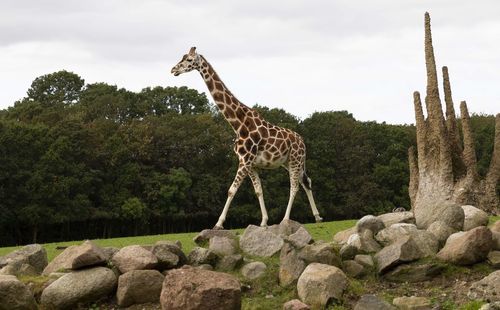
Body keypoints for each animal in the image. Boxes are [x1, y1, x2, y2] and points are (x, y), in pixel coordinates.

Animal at [171, 47, 324, 229]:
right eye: (182, 57)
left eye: (188, 60)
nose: (173, 70)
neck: (238, 124)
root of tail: (302, 142)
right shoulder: (250, 164)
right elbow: (258, 190)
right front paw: (263, 222)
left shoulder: (245, 160)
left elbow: (231, 190)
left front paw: (218, 224)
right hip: (289, 162)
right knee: (306, 181)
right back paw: (317, 217)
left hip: (295, 160)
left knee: (294, 186)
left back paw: (286, 220)